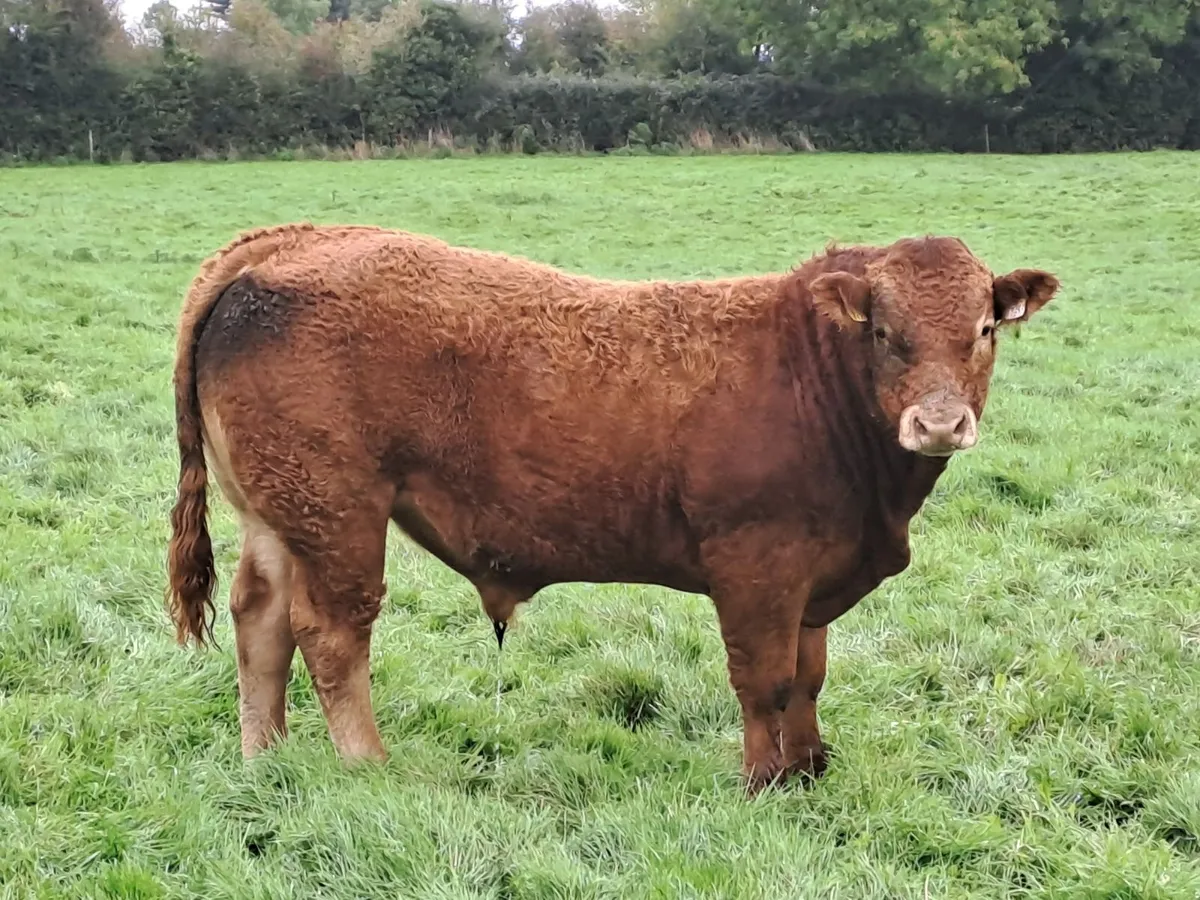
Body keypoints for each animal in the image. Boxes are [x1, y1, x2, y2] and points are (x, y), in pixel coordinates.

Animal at [166, 223, 1059, 791]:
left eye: (984, 329)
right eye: (883, 333)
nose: (940, 422)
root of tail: (299, 242)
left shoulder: (815, 576)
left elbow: (809, 676)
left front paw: (810, 768)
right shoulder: (756, 566)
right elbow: (763, 680)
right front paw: (764, 781)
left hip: (280, 516)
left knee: (261, 621)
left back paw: (266, 760)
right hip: (340, 515)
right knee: (331, 635)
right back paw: (365, 765)